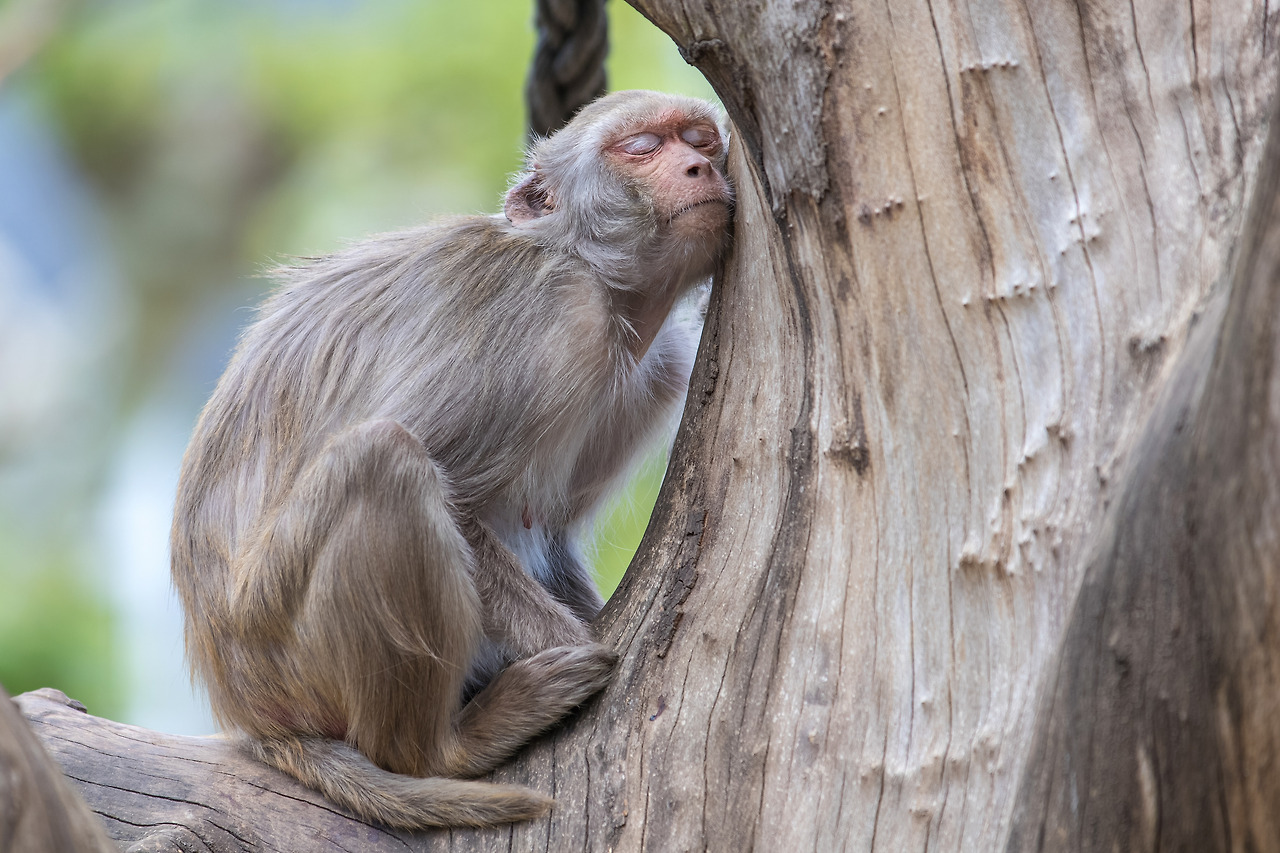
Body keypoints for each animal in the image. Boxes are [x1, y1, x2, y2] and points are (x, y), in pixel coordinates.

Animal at [169, 90, 733, 829]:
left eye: (701, 141)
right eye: (641, 148)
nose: (700, 167)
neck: (598, 279)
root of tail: (250, 713)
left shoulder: (660, 365)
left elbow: (550, 529)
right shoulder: (549, 314)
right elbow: (455, 494)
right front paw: (579, 644)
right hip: (284, 644)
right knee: (385, 459)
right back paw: (444, 748)